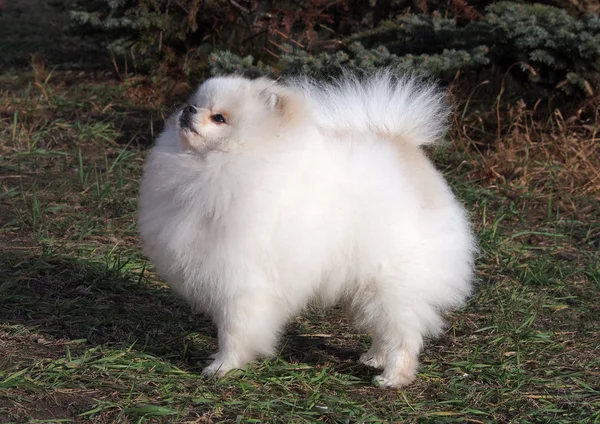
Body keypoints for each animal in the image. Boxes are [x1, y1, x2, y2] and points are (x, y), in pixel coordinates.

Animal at [138, 70, 476, 388]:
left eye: (219, 117)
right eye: (194, 103)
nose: (188, 110)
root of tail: (407, 150)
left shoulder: (241, 281)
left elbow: (234, 330)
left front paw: (223, 367)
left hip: (391, 282)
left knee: (404, 333)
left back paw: (393, 377)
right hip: (363, 286)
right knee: (384, 328)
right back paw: (373, 357)